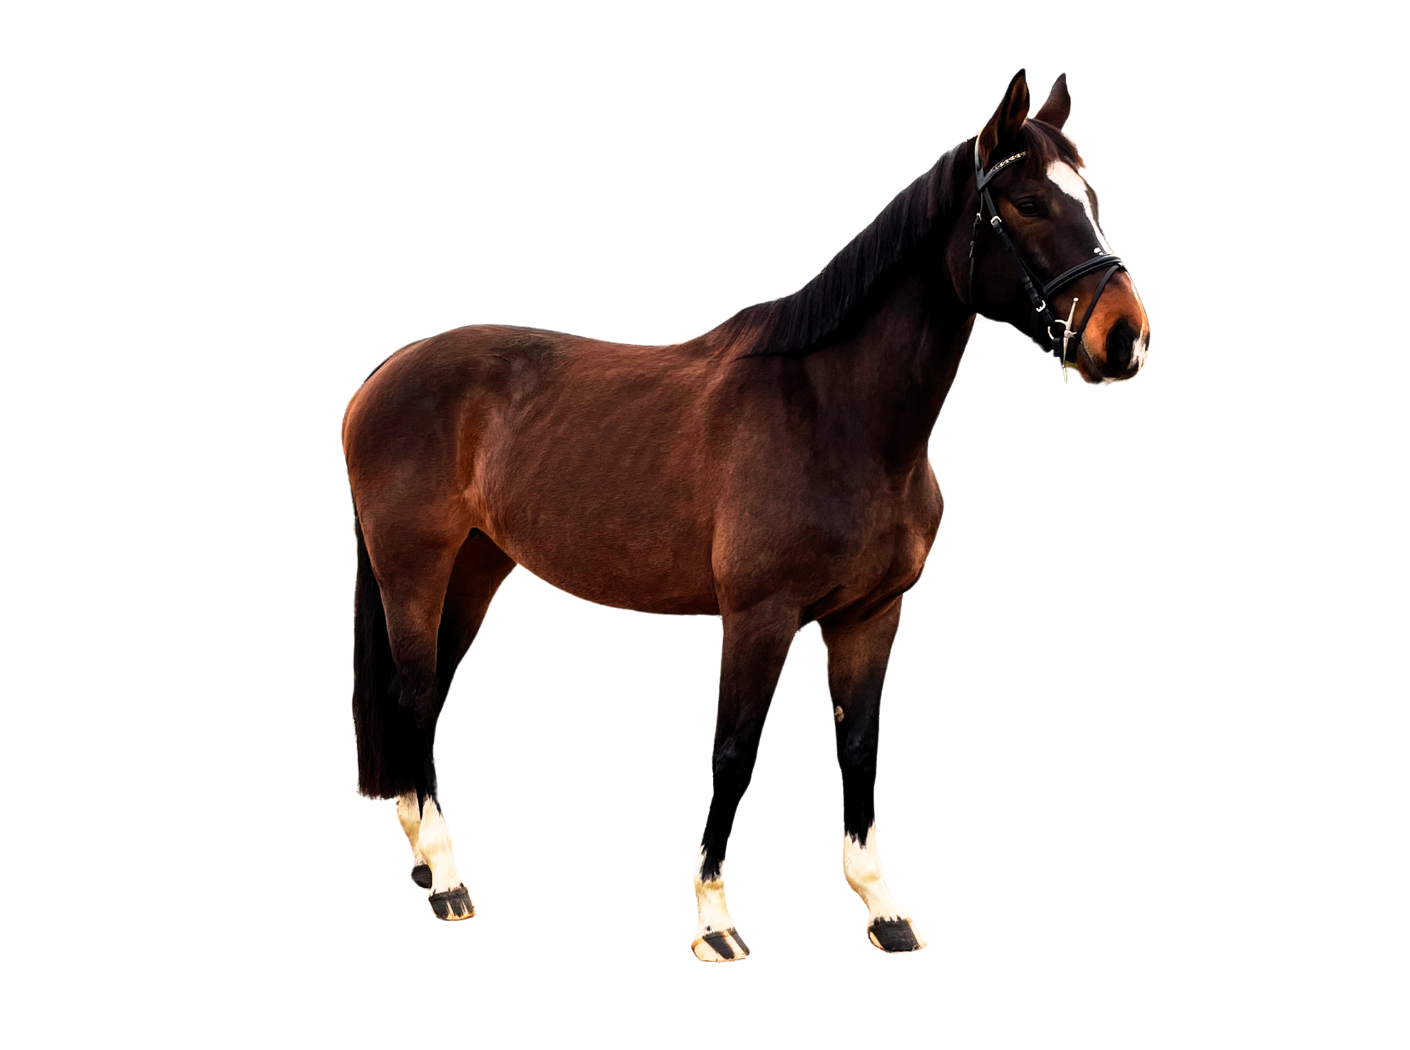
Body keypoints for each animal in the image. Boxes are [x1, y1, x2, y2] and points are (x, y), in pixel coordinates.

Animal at [342, 67, 1151, 961]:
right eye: (1028, 204)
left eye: (1093, 197)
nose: (1125, 339)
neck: (836, 416)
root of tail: (381, 378)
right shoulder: (760, 617)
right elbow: (733, 753)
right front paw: (715, 919)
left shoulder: (871, 616)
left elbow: (858, 748)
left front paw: (883, 908)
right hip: (415, 568)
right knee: (414, 695)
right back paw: (448, 879)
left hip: (477, 568)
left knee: (425, 700)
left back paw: (425, 863)